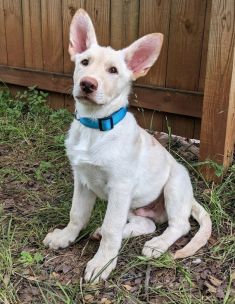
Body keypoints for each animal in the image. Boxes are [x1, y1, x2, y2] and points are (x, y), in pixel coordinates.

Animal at [43, 10, 212, 284]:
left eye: (113, 70)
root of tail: (191, 198)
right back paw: (108, 231)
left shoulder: (120, 187)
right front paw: (64, 237)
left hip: (173, 185)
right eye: (84, 62)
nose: (87, 84)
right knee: (147, 224)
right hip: (134, 205)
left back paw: (157, 244)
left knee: (179, 224)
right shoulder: (82, 179)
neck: (96, 127)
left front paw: (102, 263)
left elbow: (112, 228)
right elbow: (76, 213)